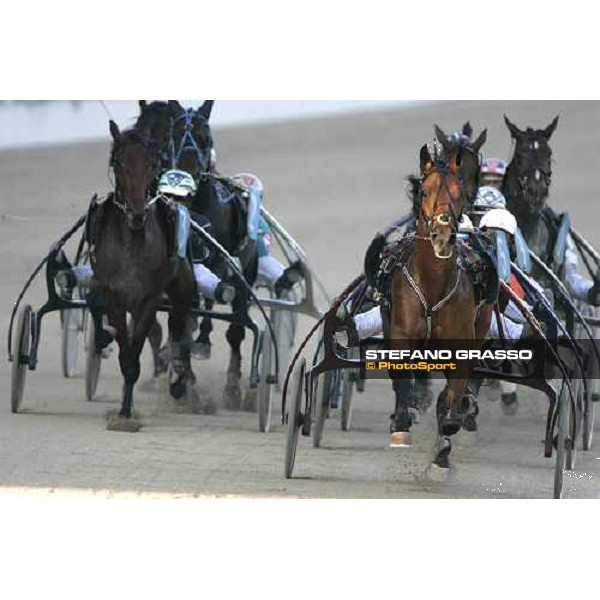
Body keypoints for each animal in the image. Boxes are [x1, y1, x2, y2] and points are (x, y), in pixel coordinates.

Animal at [90, 120, 196, 432]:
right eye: (119, 162)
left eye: (152, 163)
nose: (137, 214)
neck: (132, 242)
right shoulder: (114, 295)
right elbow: (126, 351)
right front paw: (124, 412)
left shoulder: (150, 297)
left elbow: (135, 355)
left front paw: (126, 412)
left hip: (182, 284)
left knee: (179, 324)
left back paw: (180, 377)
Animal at [382, 144, 494, 474]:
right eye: (425, 190)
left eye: (460, 192)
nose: (443, 235)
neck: (433, 288)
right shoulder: (401, 333)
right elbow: (402, 377)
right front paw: (401, 424)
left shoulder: (462, 343)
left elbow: (453, 396)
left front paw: (445, 439)